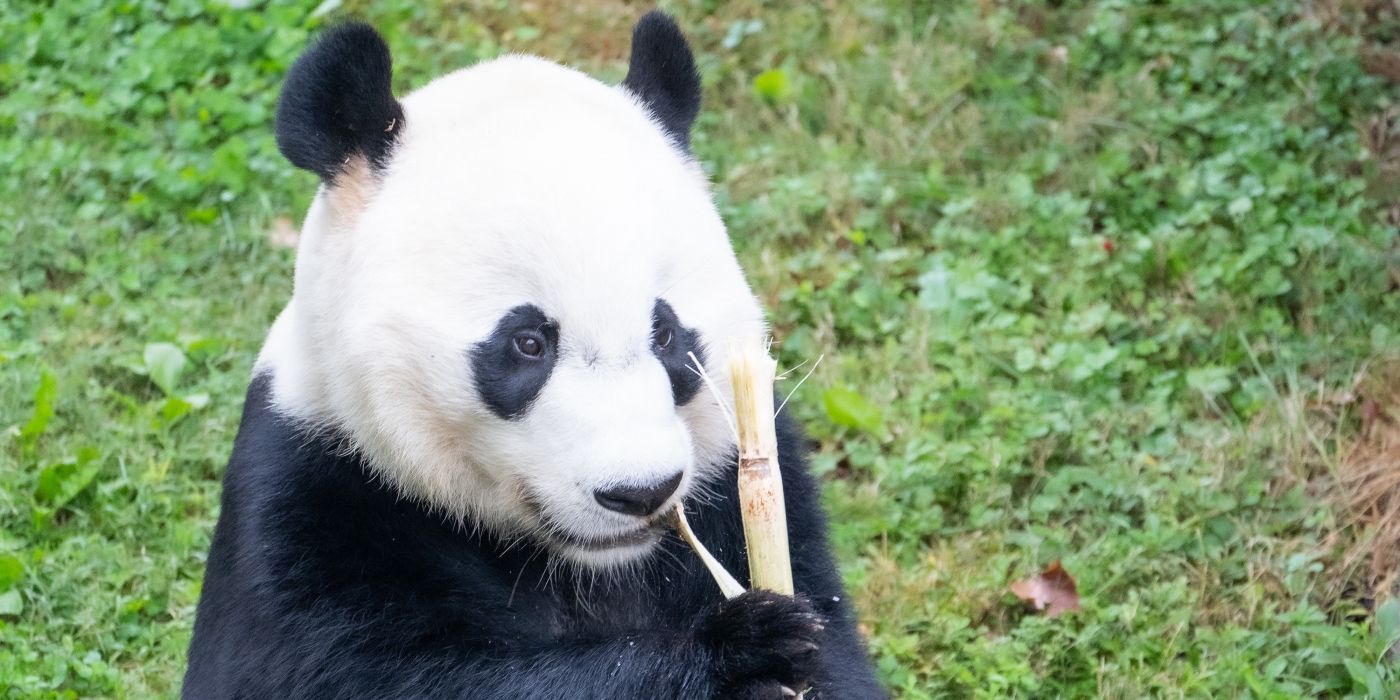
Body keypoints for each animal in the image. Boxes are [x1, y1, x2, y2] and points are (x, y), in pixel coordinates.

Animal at [186, 12, 884, 700]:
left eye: (665, 334)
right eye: (528, 343)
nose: (640, 492)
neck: (589, 565)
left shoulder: (746, 481)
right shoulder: (313, 498)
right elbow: (387, 674)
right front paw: (738, 652)